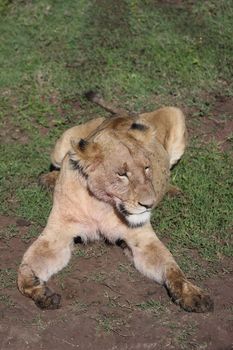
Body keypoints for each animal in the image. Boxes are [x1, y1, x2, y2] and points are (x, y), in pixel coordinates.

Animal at [17, 93, 213, 312]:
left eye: (147, 168)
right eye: (122, 174)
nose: (149, 203)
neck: (101, 203)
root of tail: (126, 113)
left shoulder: (143, 239)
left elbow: (172, 268)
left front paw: (192, 295)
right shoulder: (56, 235)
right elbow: (24, 268)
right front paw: (39, 292)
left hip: (175, 113)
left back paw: (172, 191)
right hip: (62, 145)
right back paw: (46, 179)